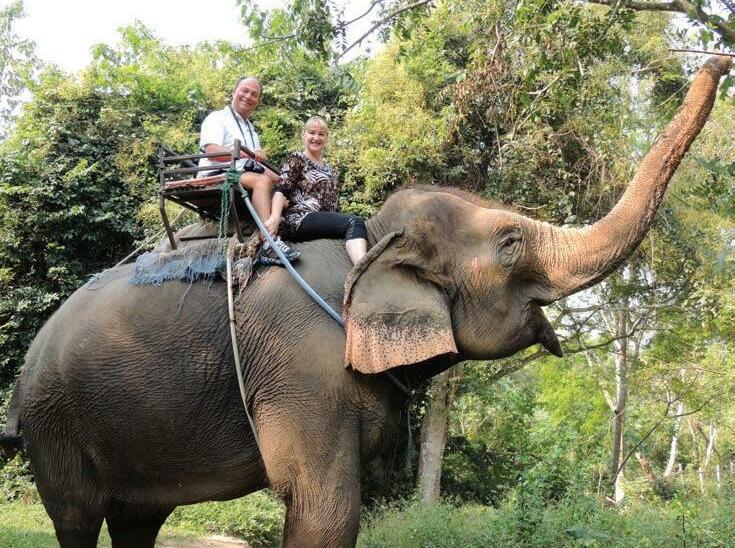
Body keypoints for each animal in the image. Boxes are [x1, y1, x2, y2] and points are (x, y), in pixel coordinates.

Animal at [0, 56, 729, 548]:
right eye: (511, 243)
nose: (719, 59)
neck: (373, 243)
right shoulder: (298, 366)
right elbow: (325, 509)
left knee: (135, 519)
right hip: (54, 422)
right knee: (77, 517)